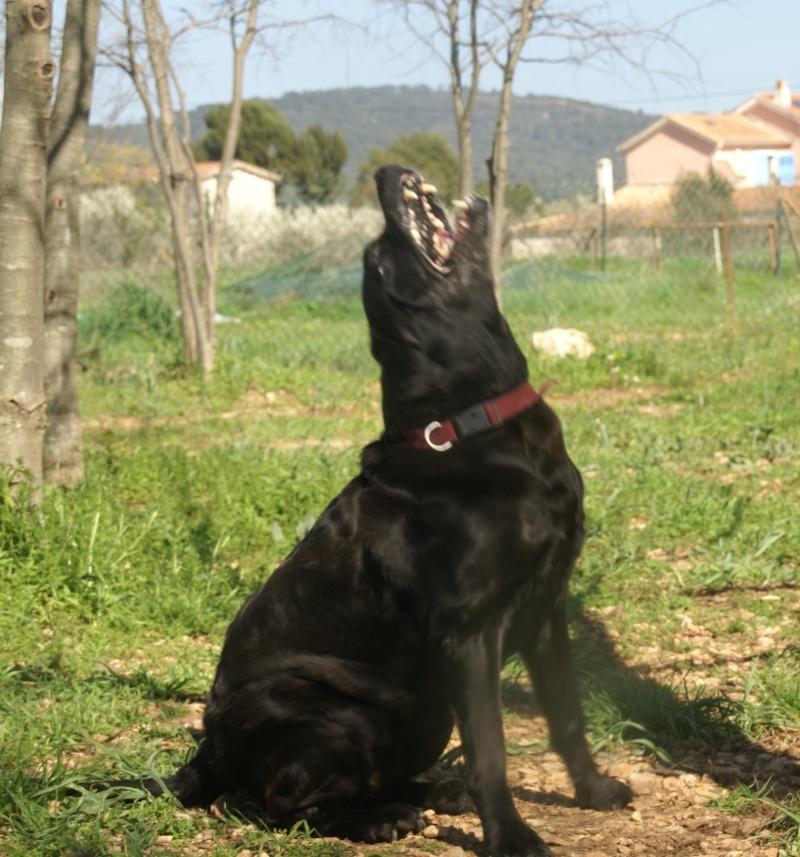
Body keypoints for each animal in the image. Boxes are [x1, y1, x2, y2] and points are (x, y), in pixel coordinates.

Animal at [130, 164, 632, 852]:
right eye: (379, 257)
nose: (385, 172)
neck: (472, 422)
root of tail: (205, 753)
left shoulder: (547, 612)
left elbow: (568, 718)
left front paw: (593, 791)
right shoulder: (469, 633)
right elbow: (492, 752)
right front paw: (509, 834)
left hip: (423, 710)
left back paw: (433, 792)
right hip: (345, 716)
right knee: (268, 804)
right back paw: (378, 819)